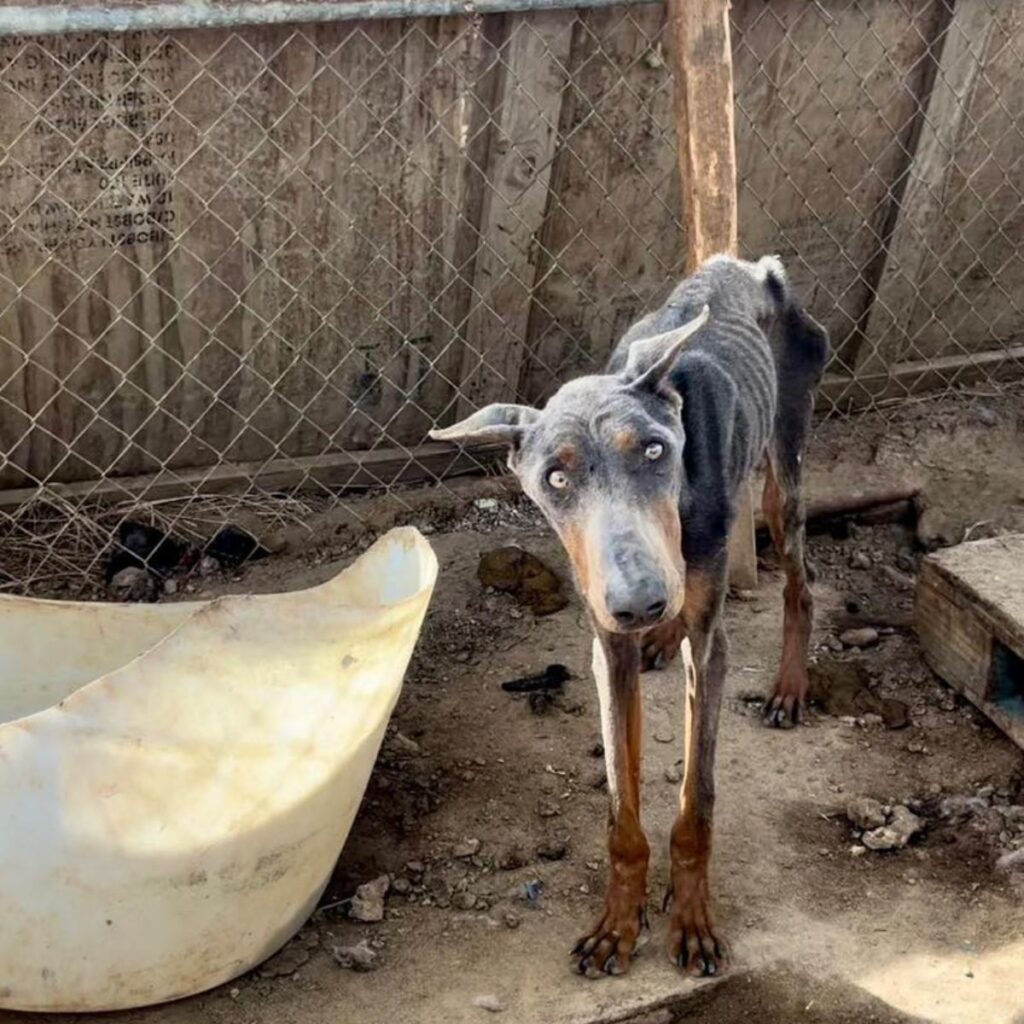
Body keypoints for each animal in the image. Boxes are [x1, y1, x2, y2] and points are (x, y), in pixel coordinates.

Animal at [428, 253, 827, 974]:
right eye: (556, 479)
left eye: (653, 450)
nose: (640, 600)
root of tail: (751, 267)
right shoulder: (605, 651)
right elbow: (621, 805)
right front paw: (617, 922)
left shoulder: (710, 645)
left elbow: (697, 801)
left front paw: (692, 921)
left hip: (786, 466)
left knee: (800, 586)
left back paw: (788, 688)